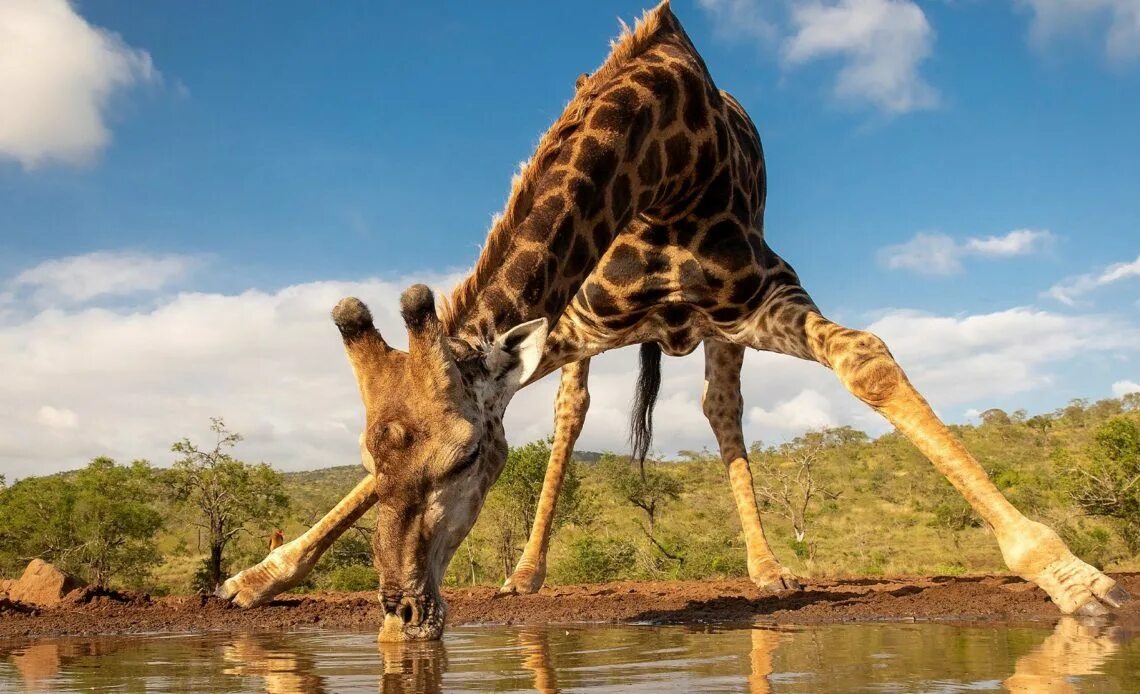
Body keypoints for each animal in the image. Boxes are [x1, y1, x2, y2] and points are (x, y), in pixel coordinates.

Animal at [217, 1, 1126, 638]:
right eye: (369, 456)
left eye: (466, 458)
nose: (402, 610)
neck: (663, 161)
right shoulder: (572, 323)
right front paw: (260, 577)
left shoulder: (761, 293)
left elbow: (865, 358)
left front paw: (1069, 574)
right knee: (574, 412)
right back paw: (525, 573)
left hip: (720, 332)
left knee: (721, 407)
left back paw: (767, 568)